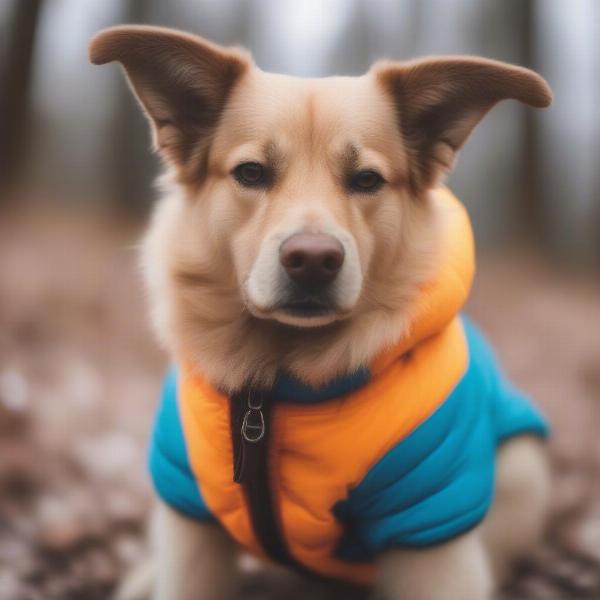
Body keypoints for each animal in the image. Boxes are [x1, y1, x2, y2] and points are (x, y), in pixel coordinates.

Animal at [89, 24, 552, 600]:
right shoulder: (189, 509)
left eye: (367, 180)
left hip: (522, 465)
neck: (275, 378)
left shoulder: (433, 523)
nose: (313, 260)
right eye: (251, 172)